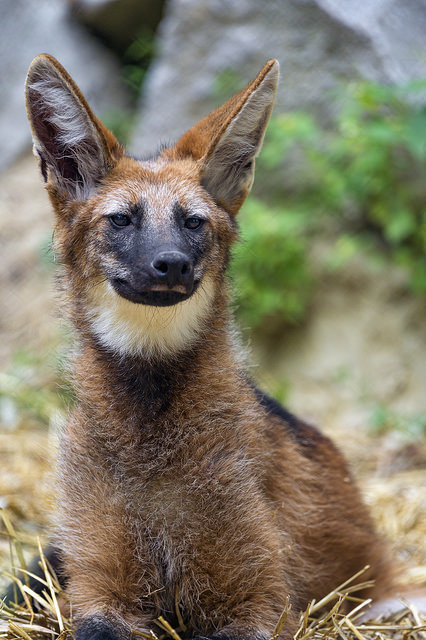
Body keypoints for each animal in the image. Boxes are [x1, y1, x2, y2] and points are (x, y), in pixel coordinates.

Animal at [23, 54, 397, 639]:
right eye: (121, 219)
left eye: (193, 222)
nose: (172, 263)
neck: (150, 423)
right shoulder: (104, 586)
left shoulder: (261, 599)